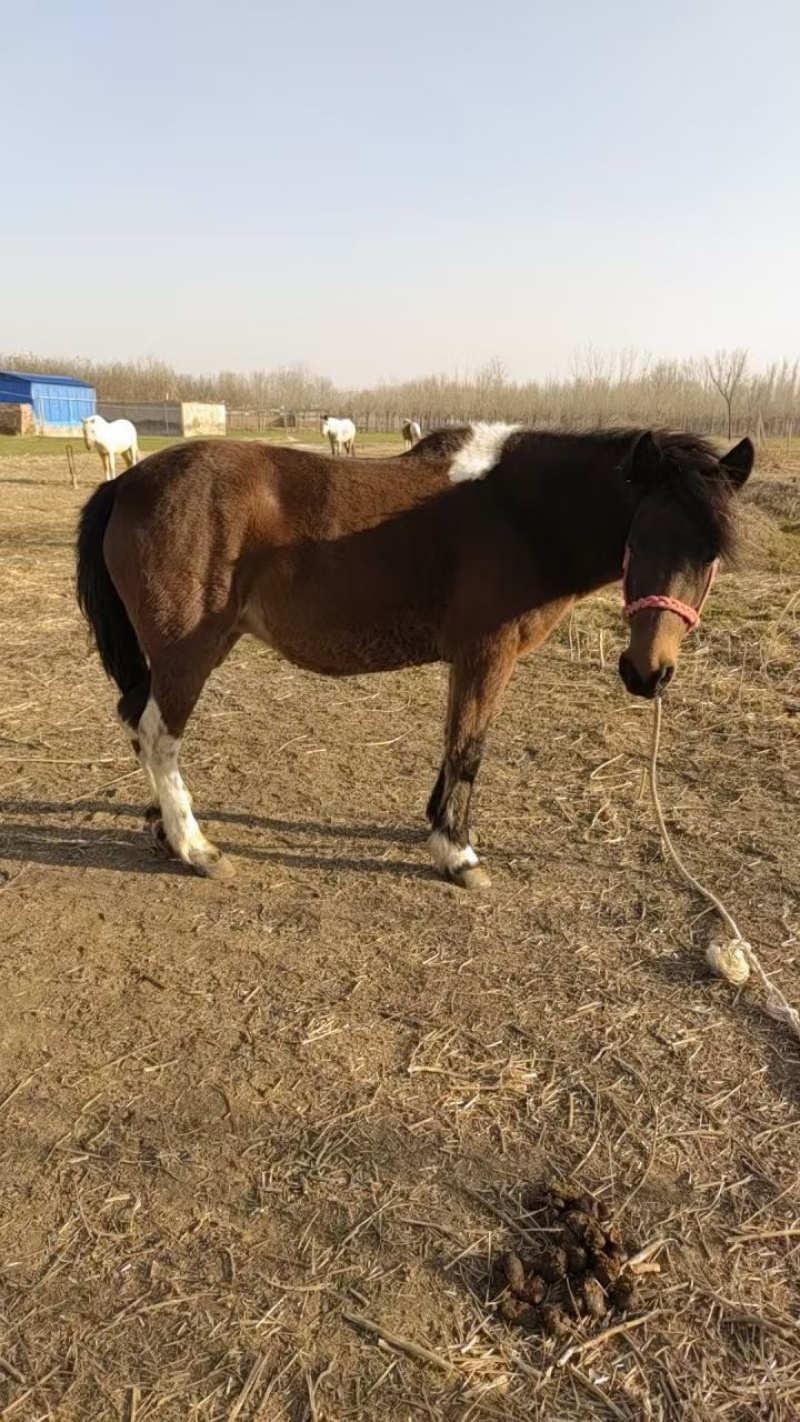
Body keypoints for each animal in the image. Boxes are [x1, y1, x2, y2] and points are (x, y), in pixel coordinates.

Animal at [76, 424, 753, 888]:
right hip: (187, 656)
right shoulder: (488, 655)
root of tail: (126, 483)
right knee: (158, 735)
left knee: (137, 724)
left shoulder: (469, 660)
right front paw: (457, 853)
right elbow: (470, 746)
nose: (647, 673)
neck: (520, 514)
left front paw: (442, 827)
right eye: (638, 540)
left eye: (711, 552)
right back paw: (195, 847)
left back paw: (164, 829)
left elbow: (455, 740)